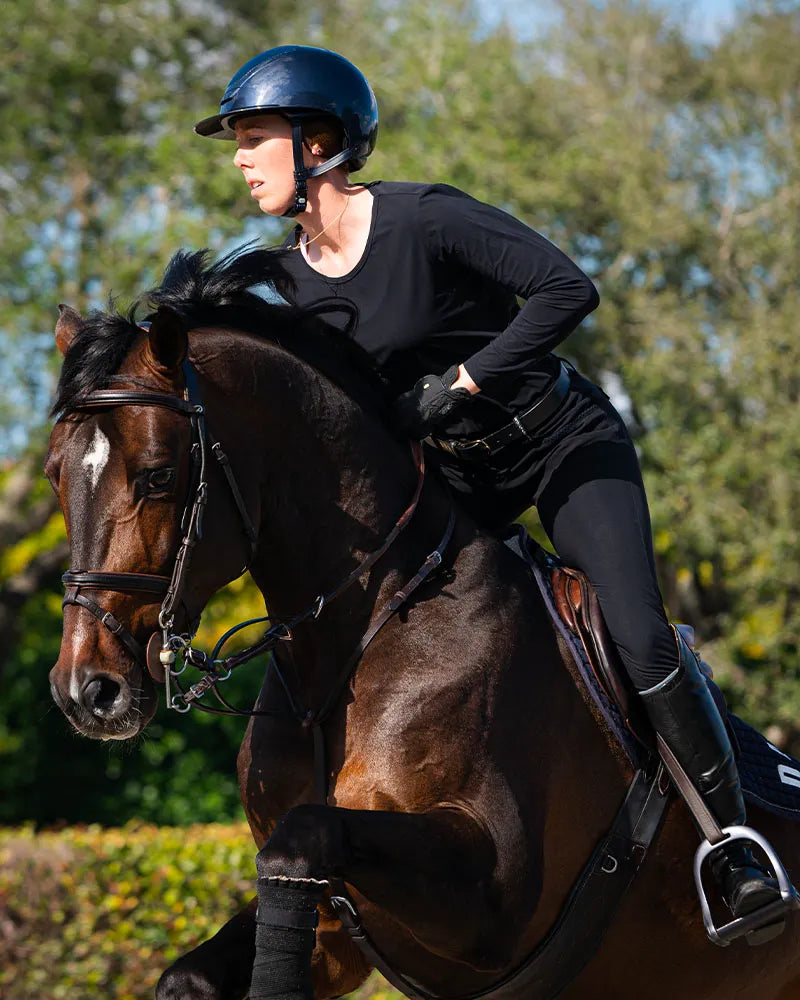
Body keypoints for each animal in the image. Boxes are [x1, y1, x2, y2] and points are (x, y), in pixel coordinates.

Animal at [45, 244, 800, 1000]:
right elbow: (195, 973)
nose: (88, 690)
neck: (353, 645)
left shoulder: (495, 899)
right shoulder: (337, 936)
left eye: (157, 474)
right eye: (55, 475)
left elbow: (301, 840)